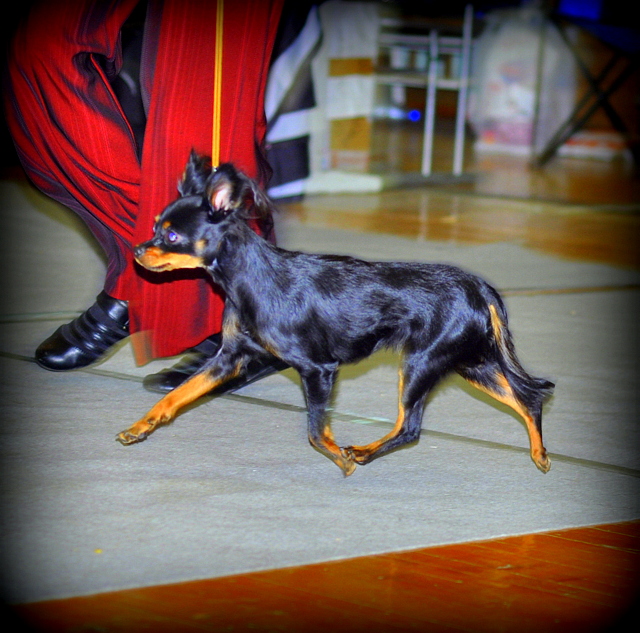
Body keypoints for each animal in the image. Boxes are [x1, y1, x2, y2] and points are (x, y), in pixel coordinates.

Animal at [117, 151, 554, 476]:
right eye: (155, 227)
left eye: (172, 235)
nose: (137, 251)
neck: (253, 278)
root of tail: (479, 287)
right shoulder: (230, 358)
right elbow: (177, 395)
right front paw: (139, 428)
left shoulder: (318, 370)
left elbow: (314, 429)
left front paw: (340, 458)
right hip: (470, 363)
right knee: (527, 399)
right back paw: (540, 455)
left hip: (423, 364)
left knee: (410, 427)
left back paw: (361, 452)